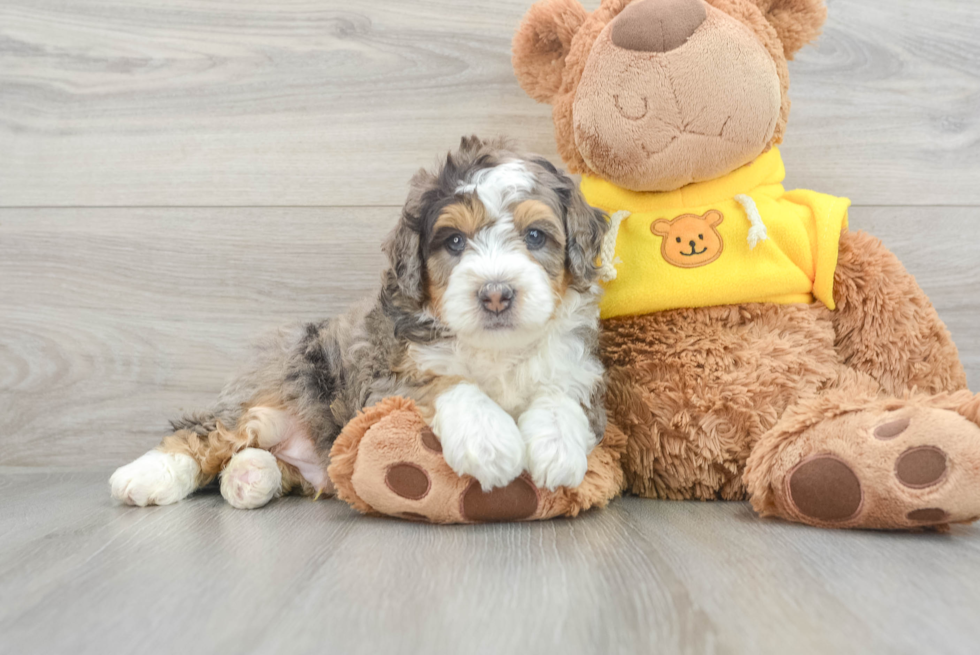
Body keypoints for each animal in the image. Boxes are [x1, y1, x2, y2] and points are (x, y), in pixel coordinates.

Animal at [111, 136, 608, 510]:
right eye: (453, 241)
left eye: (536, 236)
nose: (496, 293)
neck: (496, 349)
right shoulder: (384, 376)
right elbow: (445, 381)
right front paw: (490, 442)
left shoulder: (580, 370)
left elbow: (560, 393)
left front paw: (559, 449)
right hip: (279, 377)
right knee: (205, 431)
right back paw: (143, 476)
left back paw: (249, 476)